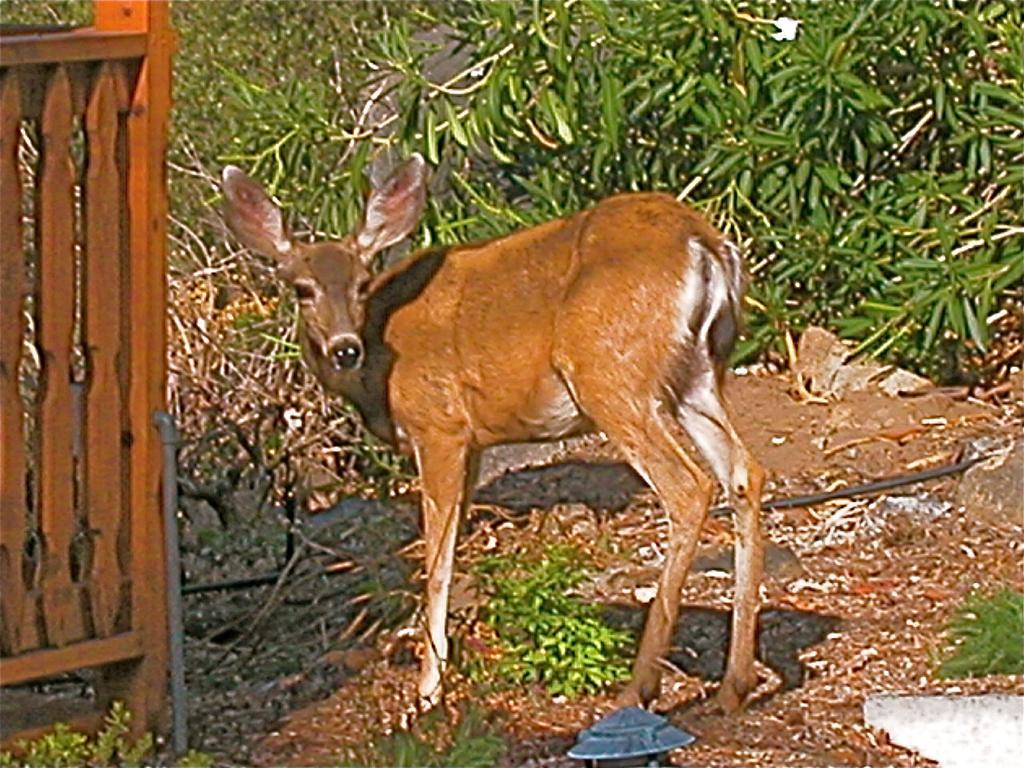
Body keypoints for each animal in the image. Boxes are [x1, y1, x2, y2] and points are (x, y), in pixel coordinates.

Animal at [226, 156, 770, 716]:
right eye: (302, 288)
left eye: (361, 282)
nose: (343, 348)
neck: (381, 364)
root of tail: (703, 243)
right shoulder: (473, 443)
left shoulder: (440, 425)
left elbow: (437, 560)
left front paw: (428, 689)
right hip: (696, 374)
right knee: (744, 473)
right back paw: (734, 686)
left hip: (611, 374)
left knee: (688, 487)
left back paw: (639, 687)